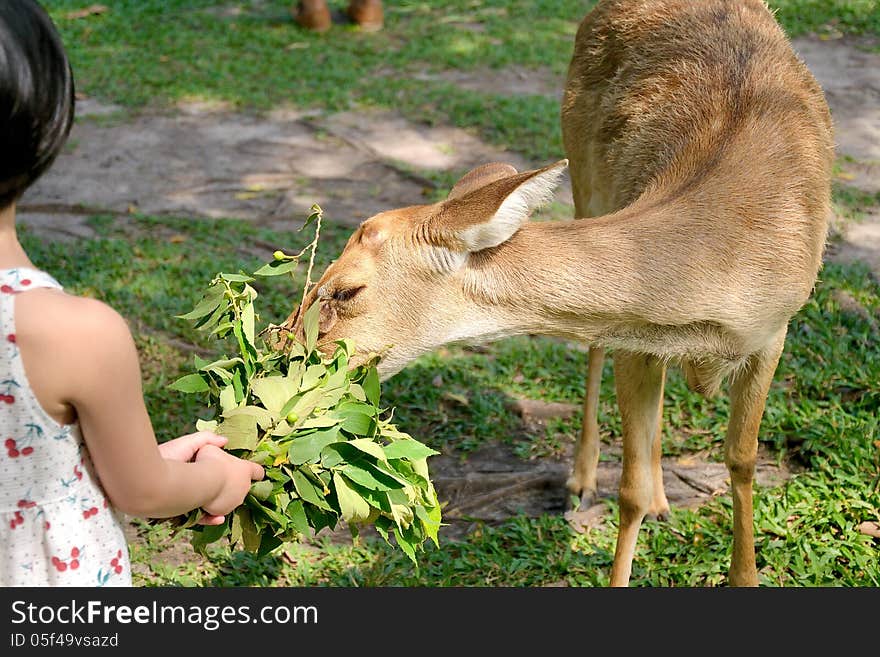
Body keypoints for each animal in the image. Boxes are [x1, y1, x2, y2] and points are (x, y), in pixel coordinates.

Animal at [282, 0, 832, 584]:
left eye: (345, 290)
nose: (283, 349)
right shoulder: (636, 336)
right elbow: (630, 489)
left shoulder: (774, 331)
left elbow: (742, 461)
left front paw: (744, 571)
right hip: (586, 173)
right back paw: (583, 479)